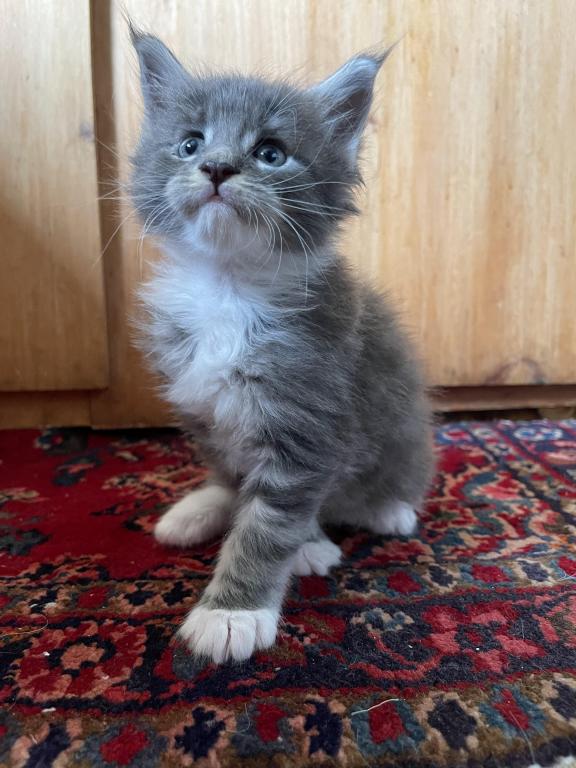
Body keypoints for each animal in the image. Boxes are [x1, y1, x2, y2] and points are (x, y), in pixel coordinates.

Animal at [130, 30, 434, 664]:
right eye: (189, 144)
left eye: (271, 153)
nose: (217, 167)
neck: (227, 288)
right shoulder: (202, 407)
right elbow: (237, 481)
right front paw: (220, 509)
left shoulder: (309, 422)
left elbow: (269, 525)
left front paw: (233, 613)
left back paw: (389, 509)